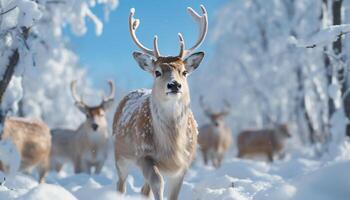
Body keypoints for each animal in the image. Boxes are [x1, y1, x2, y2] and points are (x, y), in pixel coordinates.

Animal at [113, 5, 208, 200]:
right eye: (157, 72)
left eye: (184, 72)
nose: (174, 84)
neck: (171, 149)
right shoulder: (144, 154)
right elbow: (158, 182)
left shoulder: (185, 162)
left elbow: (173, 193)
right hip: (120, 154)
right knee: (121, 184)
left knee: (143, 189)